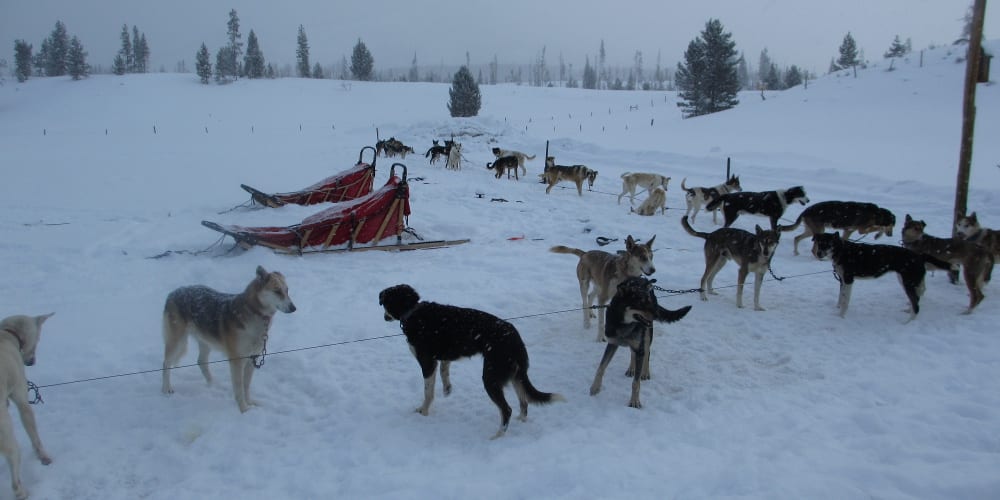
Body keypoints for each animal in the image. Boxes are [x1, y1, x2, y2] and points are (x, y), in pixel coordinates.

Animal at [0, 310, 53, 498]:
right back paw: (22, 492)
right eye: (38, 339)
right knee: (15, 478)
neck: (8, 334)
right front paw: (43, 456)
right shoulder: (23, 402)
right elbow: (35, 438)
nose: (32, 362)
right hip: (7, 436)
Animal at [161, 264, 296, 412]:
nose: (294, 308)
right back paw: (166, 389)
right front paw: (243, 410)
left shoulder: (252, 358)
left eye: (287, 290)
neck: (255, 314)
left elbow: (246, 385)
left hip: (205, 341)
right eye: (277, 291)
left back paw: (213, 385)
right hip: (177, 341)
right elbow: (239, 387)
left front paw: (249, 403)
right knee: (166, 364)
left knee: (201, 362)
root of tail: (173, 293)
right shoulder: (237, 360)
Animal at [378, 284, 564, 440]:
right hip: (515, 375)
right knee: (524, 402)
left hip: (490, 377)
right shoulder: (444, 358)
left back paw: (497, 437)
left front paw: (423, 412)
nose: (384, 317)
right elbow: (444, 372)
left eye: (385, 302)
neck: (414, 312)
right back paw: (520, 421)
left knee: (507, 409)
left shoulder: (427, 363)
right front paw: (447, 389)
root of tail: (514, 337)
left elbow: (428, 392)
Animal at [588, 278, 692, 410]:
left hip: (647, 335)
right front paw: (595, 388)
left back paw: (645, 372)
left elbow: (636, 382)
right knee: (633, 353)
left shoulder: (640, 347)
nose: (657, 313)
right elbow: (601, 368)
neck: (624, 324)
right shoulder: (612, 344)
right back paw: (631, 369)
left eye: (649, 301)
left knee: (647, 352)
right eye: (641, 303)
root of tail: (643, 279)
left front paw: (634, 401)